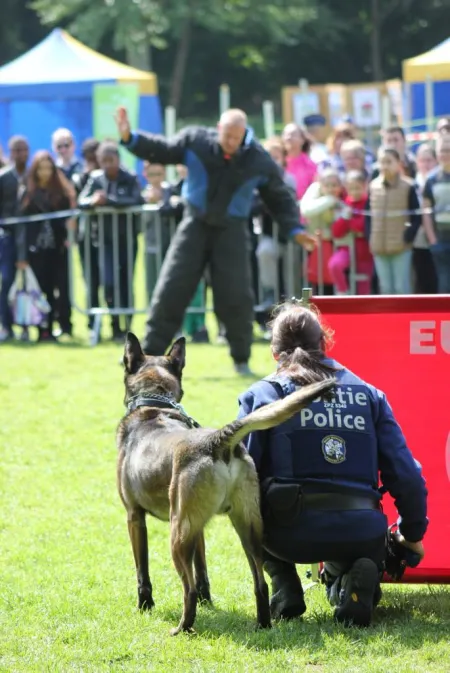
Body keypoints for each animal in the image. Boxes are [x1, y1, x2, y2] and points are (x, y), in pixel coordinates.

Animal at [118, 334, 336, 632]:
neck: (154, 406)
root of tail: (218, 439)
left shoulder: (134, 517)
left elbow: (143, 571)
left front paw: (145, 606)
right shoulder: (199, 529)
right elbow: (203, 572)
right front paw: (207, 601)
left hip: (179, 532)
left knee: (187, 589)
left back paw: (183, 628)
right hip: (248, 529)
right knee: (260, 583)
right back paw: (262, 624)